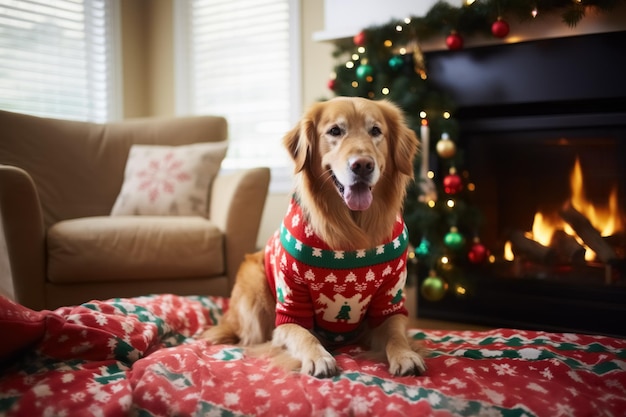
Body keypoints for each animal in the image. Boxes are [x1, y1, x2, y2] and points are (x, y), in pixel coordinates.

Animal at [201, 96, 424, 376]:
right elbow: (303, 335)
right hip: (254, 286)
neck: (352, 229)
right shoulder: (290, 304)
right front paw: (318, 357)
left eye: (375, 131)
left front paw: (405, 355)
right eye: (335, 131)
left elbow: (396, 333)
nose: (362, 165)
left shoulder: (390, 297)